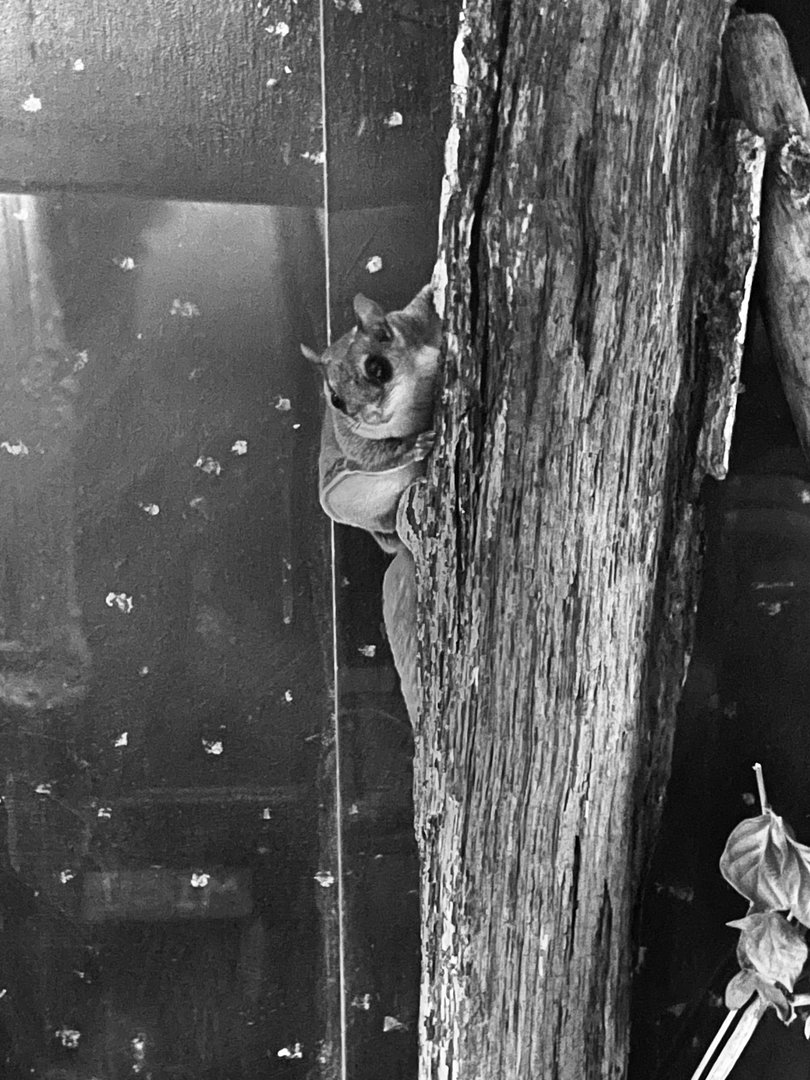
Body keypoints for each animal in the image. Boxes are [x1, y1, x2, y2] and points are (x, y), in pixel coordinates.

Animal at [301, 285, 442, 728]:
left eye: (376, 368)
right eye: (335, 399)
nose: (371, 413)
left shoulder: (414, 324)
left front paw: (436, 288)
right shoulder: (354, 443)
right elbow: (376, 455)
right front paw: (410, 446)